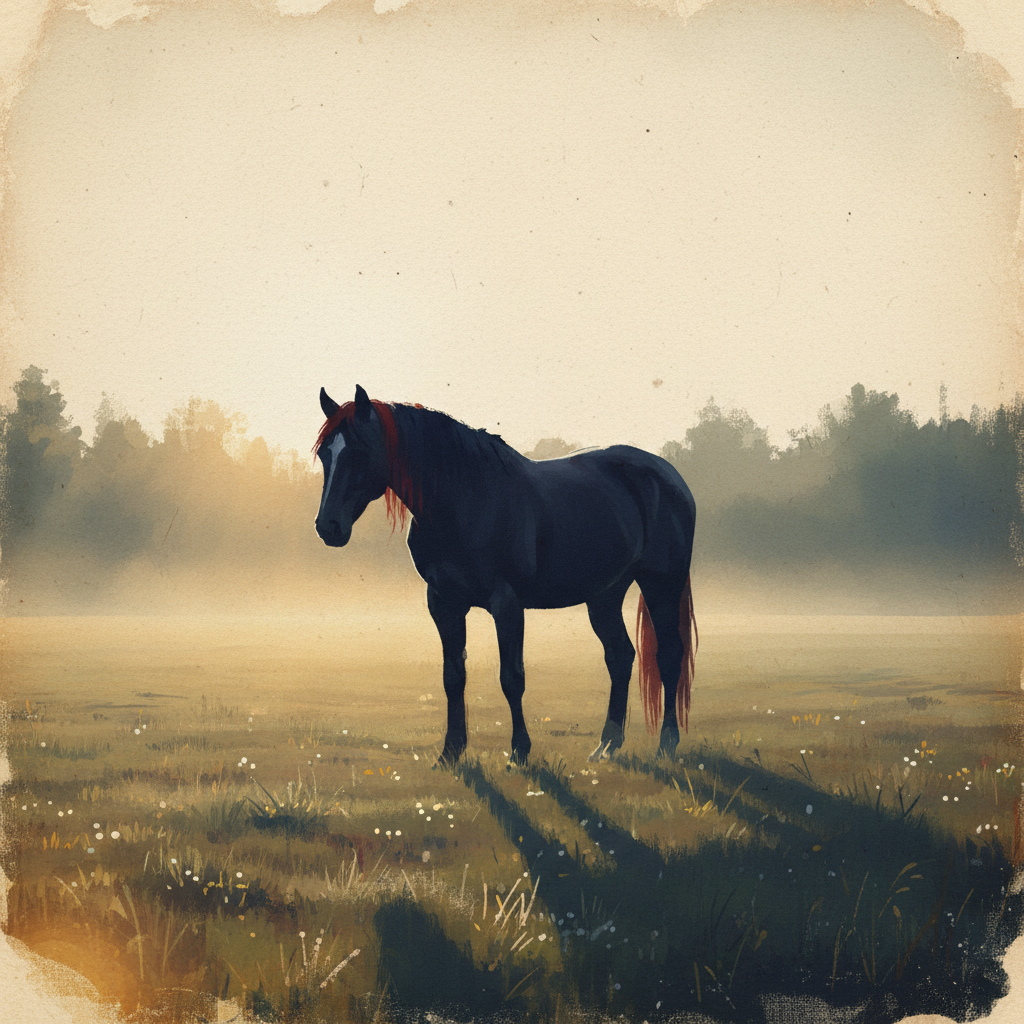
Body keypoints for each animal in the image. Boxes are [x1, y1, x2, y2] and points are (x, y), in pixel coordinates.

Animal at [313, 385, 697, 767]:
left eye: (359, 451)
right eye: (324, 455)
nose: (328, 527)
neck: (464, 500)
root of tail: (669, 476)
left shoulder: (506, 603)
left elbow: (512, 678)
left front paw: (519, 752)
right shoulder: (443, 602)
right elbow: (453, 676)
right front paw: (451, 752)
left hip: (661, 584)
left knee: (669, 655)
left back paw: (667, 744)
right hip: (605, 595)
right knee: (620, 656)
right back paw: (606, 746)